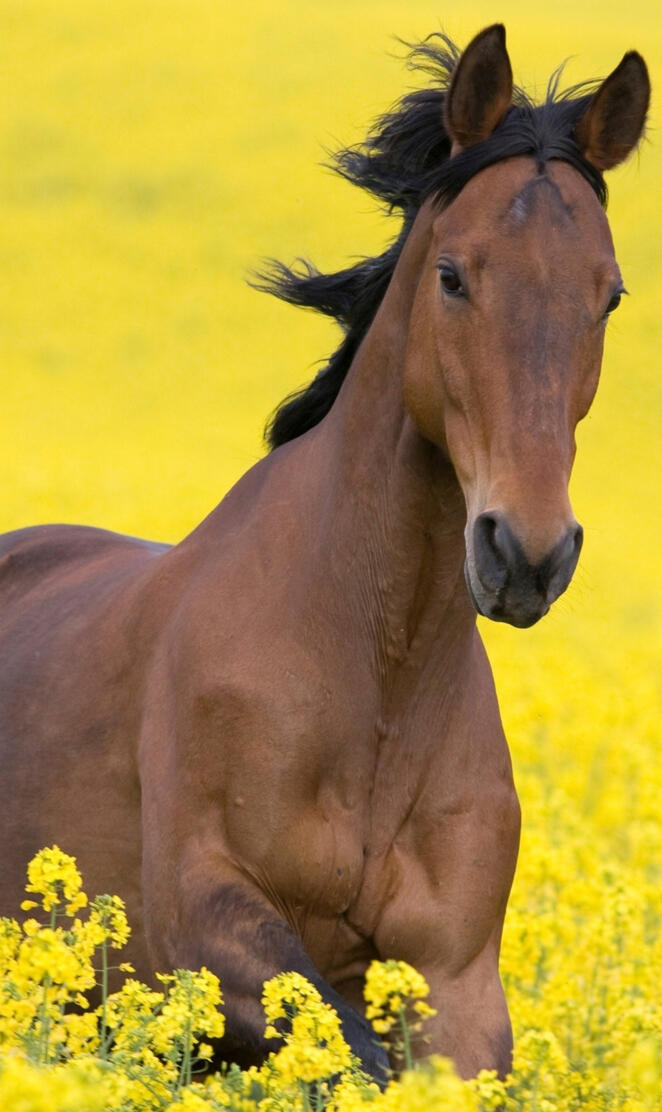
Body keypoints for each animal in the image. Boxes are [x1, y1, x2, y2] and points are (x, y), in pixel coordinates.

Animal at [0, 25, 649, 1083]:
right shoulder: (203, 922)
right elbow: (353, 1057)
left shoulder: (457, 980)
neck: (375, 671)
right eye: (453, 275)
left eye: (611, 296)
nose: (527, 555)